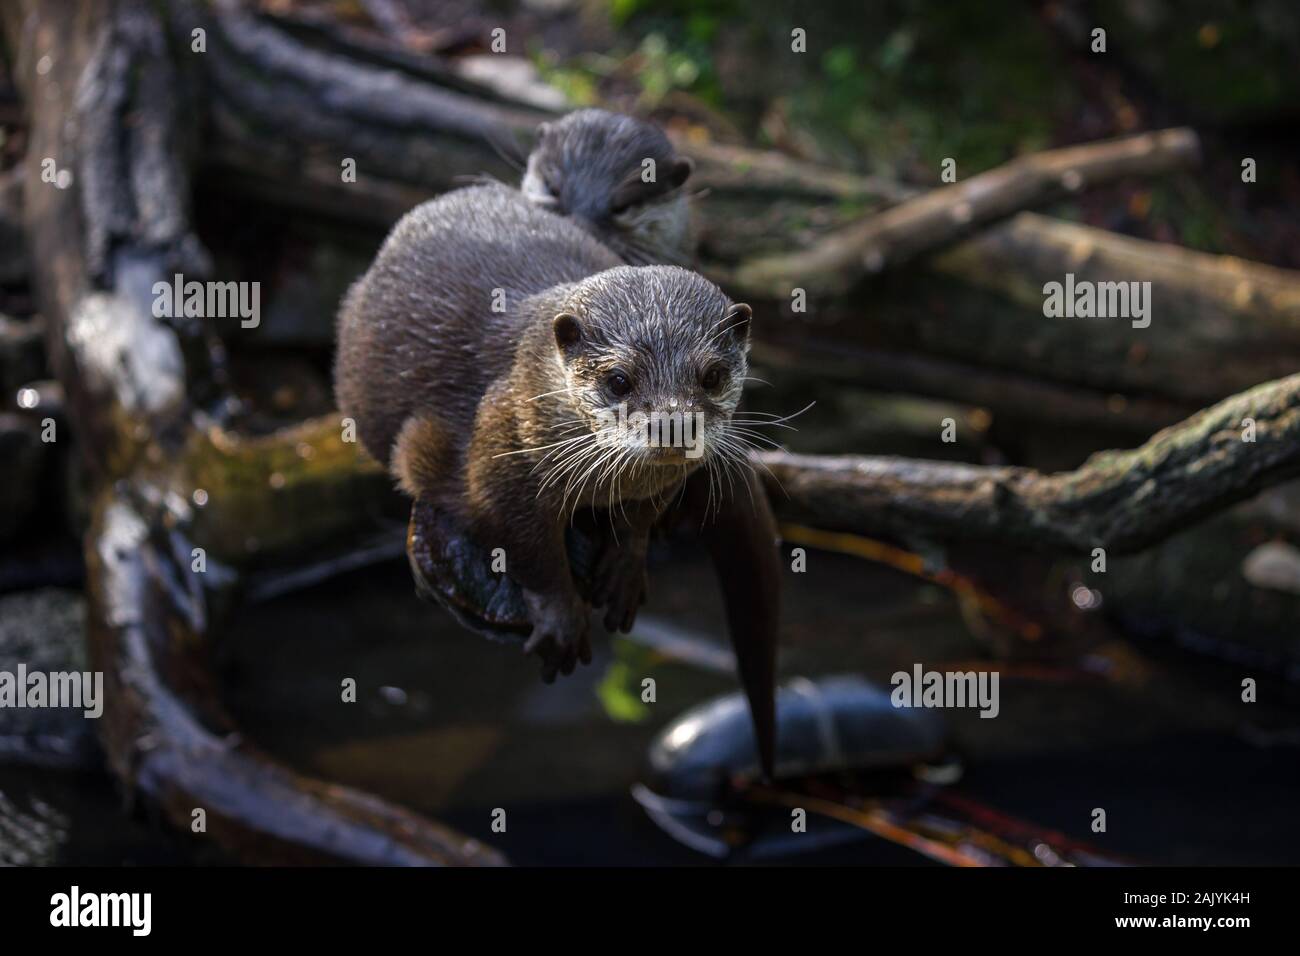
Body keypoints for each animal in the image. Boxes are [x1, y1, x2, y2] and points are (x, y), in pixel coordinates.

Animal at [338, 180, 754, 681]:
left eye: (712, 376)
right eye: (619, 380)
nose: (673, 424)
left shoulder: (661, 483)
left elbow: (640, 520)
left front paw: (625, 569)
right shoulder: (498, 459)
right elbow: (529, 549)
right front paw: (561, 618)